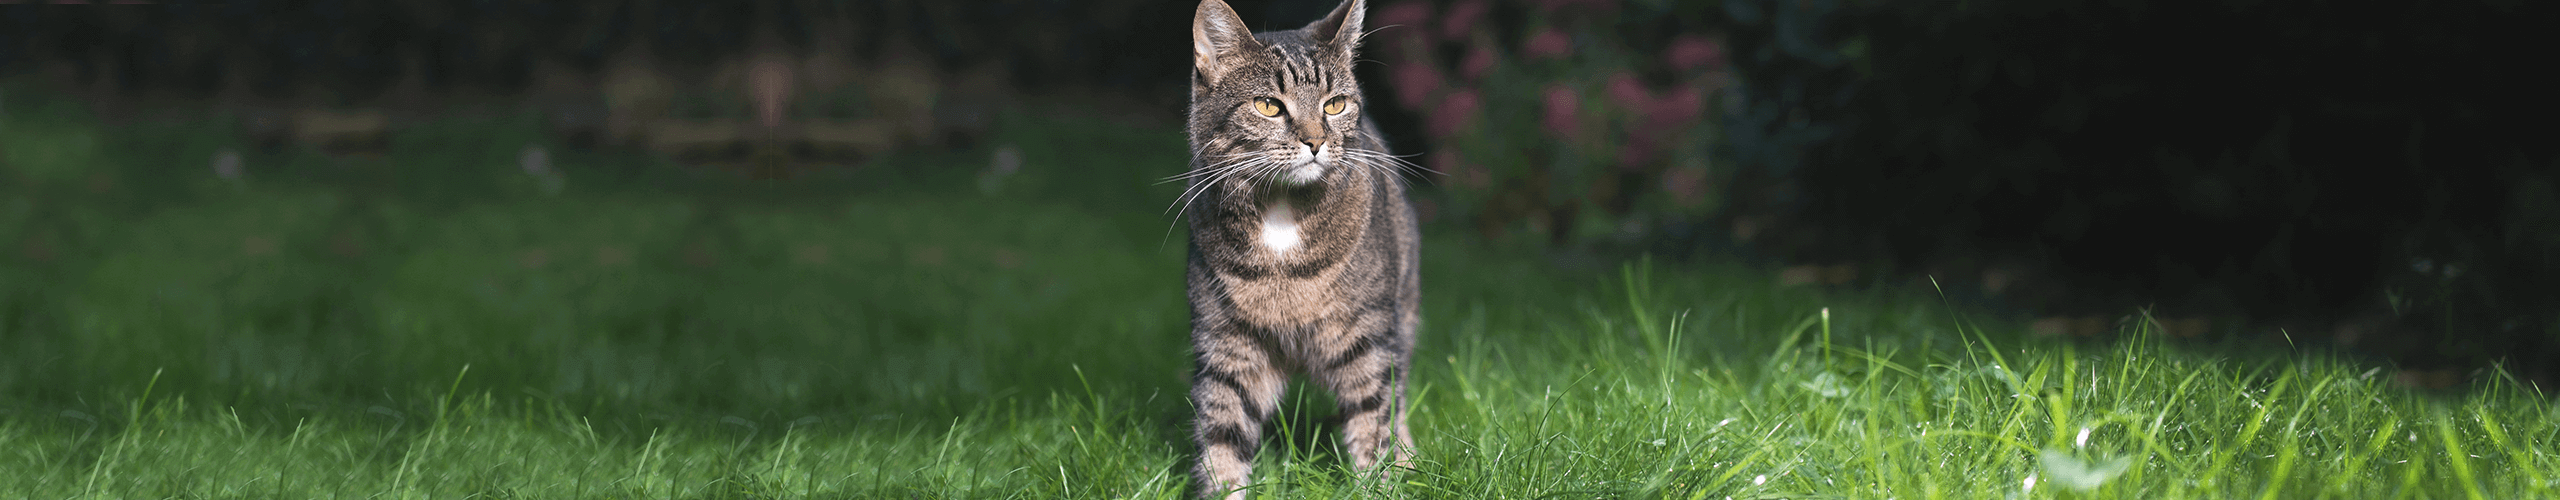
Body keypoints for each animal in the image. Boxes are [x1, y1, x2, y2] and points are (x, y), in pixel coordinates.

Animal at [1172, 0, 1423, 494]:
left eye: (1335, 104)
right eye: (1268, 105)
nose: (1315, 141)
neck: (1282, 213)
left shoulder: (1366, 337)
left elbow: (1373, 422)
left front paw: (1380, 483)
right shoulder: (1227, 344)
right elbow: (1223, 436)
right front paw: (1224, 489)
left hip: (1400, 316)